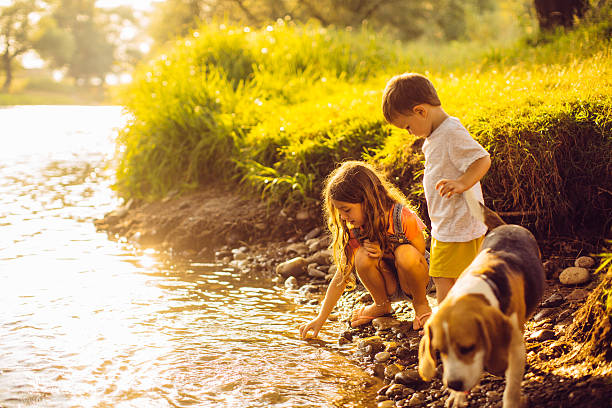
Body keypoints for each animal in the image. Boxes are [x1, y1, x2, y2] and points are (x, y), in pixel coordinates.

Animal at [418, 204, 544, 408]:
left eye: (468, 348)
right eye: (440, 351)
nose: (453, 384)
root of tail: (506, 226)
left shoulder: (515, 347)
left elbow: (511, 387)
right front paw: (458, 396)